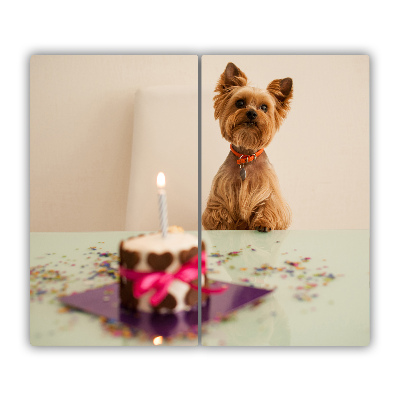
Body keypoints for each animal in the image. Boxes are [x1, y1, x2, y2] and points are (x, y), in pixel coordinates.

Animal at [203, 62, 290, 231]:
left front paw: (264, 222)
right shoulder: (221, 192)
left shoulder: (269, 191)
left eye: (264, 107)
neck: (246, 157)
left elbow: (268, 205)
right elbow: (219, 211)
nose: (251, 113)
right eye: (240, 103)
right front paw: (222, 225)